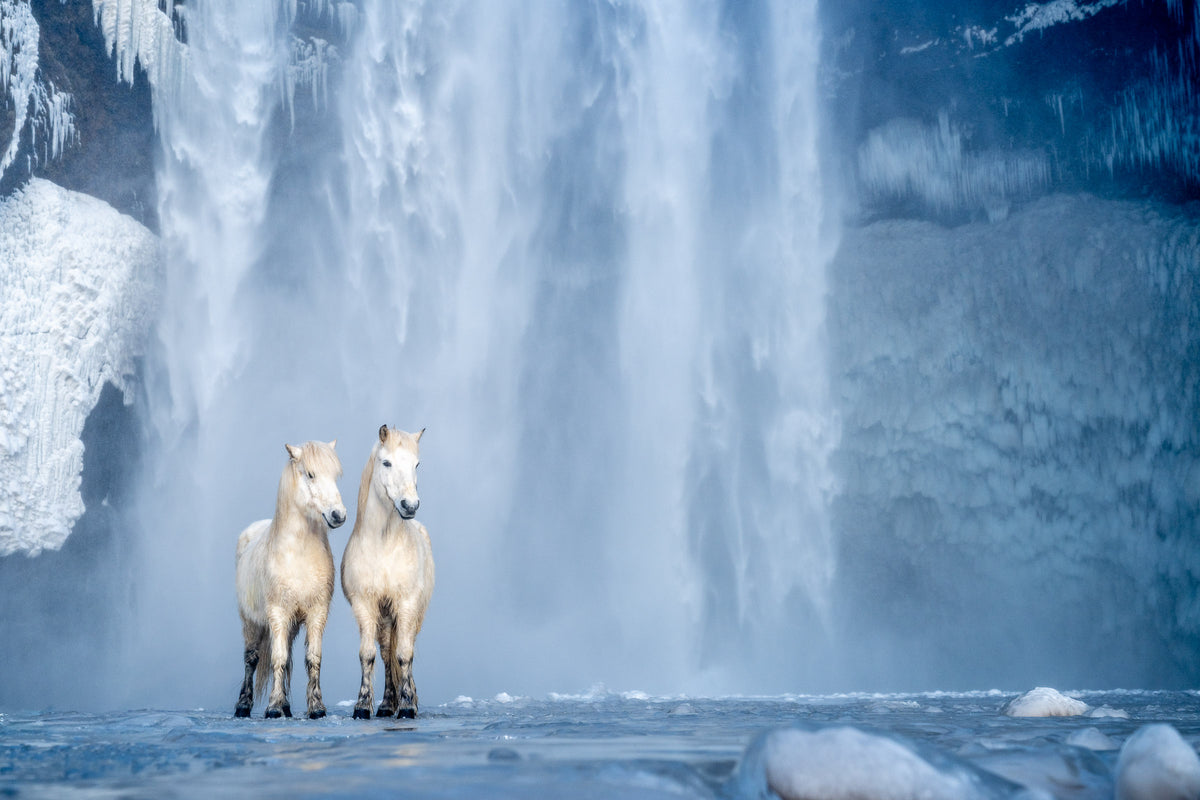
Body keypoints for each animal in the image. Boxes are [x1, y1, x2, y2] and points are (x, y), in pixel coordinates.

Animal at [234, 440, 347, 719]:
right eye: (310, 474)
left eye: (335, 475)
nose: (338, 515)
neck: (299, 555)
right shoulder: (277, 613)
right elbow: (277, 658)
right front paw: (273, 708)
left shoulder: (317, 613)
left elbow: (312, 658)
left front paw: (316, 708)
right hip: (251, 623)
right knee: (251, 658)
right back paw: (243, 705)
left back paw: (285, 705)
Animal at [341, 425, 434, 719]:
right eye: (387, 462)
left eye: (417, 464)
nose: (410, 505)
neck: (383, 544)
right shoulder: (365, 605)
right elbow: (368, 654)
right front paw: (363, 706)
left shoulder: (406, 604)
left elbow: (404, 654)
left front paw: (407, 706)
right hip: (384, 619)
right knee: (385, 652)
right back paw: (385, 705)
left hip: (412, 616)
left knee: (403, 649)